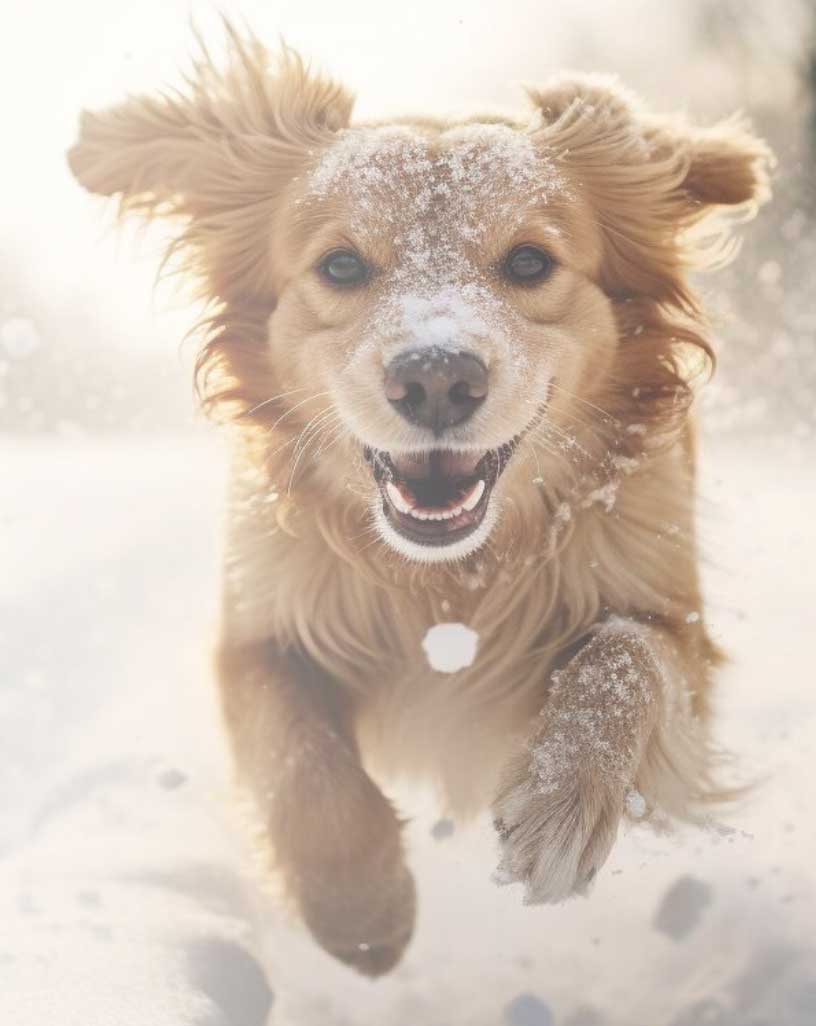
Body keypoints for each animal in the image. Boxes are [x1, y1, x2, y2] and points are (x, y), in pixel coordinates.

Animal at [68, 26, 771, 976]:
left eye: (529, 261)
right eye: (340, 264)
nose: (437, 376)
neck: (446, 582)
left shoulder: (677, 622)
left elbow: (626, 655)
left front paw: (562, 799)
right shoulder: (255, 633)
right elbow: (301, 758)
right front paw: (359, 908)